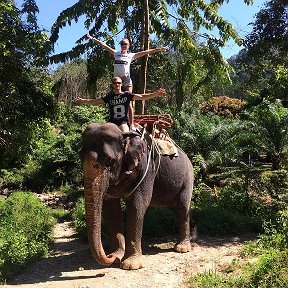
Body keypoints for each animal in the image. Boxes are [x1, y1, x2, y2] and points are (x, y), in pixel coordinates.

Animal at [80, 121, 195, 270]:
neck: (126, 136)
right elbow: (111, 209)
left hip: (187, 179)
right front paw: (117, 257)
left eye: (109, 160)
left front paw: (129, 265)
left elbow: (137, 205)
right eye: (80, 158)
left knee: (182, 209)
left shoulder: (145, 168)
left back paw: (182, 249)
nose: (109, 256)